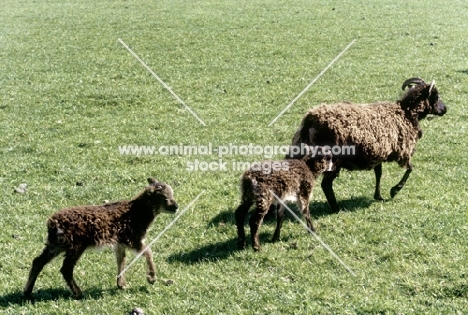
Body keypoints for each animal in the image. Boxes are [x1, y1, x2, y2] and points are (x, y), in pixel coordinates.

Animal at [23, 179, 179, 300]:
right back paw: (78, 293)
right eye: (165, 197)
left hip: (57, 243)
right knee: (66, 268)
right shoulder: (132, 238)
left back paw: (27, 292)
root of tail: (52, 223)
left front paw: (121, 285)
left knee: (38, 261)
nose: (176, 207)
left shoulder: (119, 243)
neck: (138, 213)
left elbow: (121, 260)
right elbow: (148, 252)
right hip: (76, 244)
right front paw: (151, 278)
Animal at [288, 78, 446, 214]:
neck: (406, 112)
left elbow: (379, 173)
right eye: (436, 96)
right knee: (326, 184)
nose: (445, 109)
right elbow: (410, 169)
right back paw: (336, 208)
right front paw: (394, 190)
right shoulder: (402, 151)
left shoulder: (380, 151)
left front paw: (379, 196)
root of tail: (310, 121)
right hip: (334, 158)